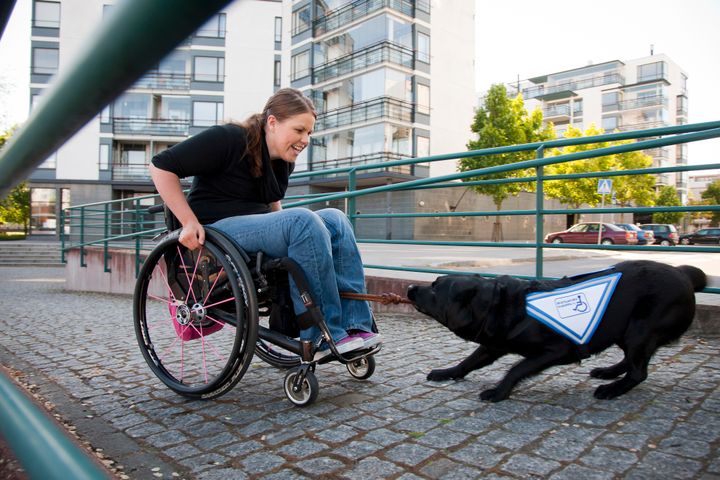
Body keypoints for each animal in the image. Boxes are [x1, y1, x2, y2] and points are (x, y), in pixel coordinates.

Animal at [408, 258, 704, 402]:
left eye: (435, 287)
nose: (410, 287)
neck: (502, 305)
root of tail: (683, 274)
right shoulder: (494, 345)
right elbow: (468, 362)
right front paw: (446, 373)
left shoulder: (556, 350)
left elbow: (516, 369)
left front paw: (499, 392)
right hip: (625, 330)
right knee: (630, 362)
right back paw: (607, 373)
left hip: (639, 330)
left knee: (639, 371)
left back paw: (611, 389)